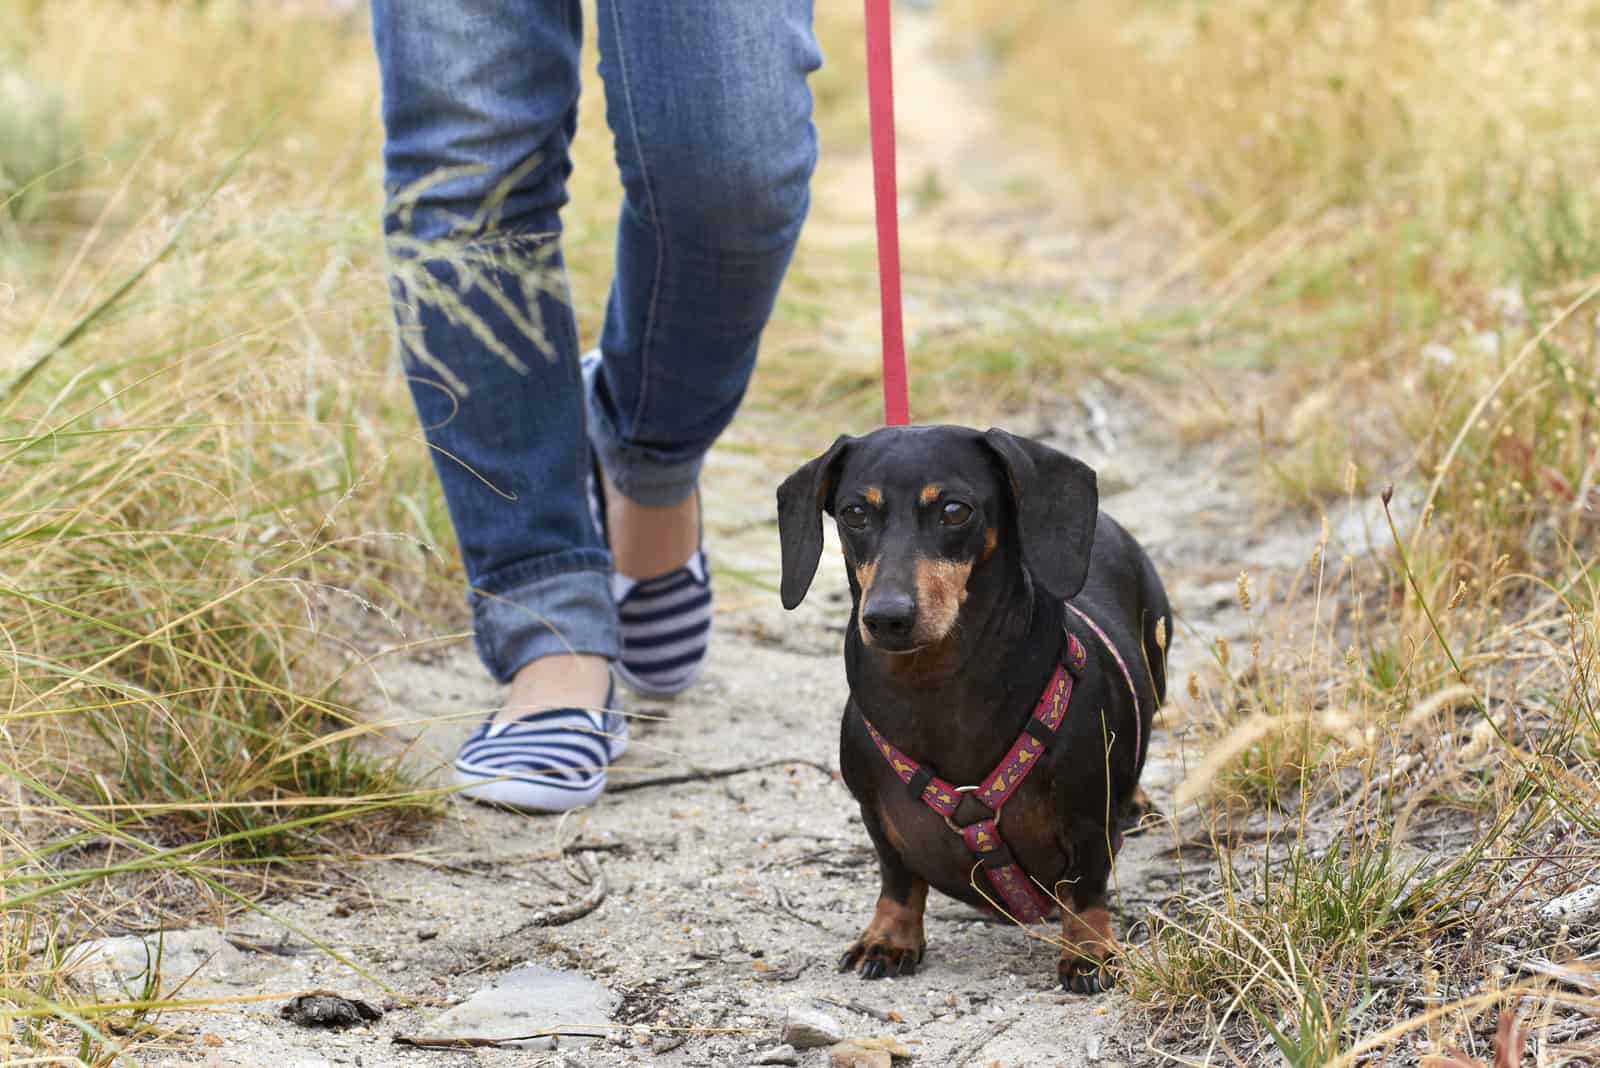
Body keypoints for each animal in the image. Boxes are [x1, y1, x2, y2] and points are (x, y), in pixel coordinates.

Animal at [777, 425, 1171, 991]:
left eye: (954, 510)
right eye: (853, 513)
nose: (886, 617)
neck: (936, 688)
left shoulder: (1088, 817)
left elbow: (1087, 887)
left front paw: (1089, 950)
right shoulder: (874, 814)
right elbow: (898, 878)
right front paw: (889, 937)